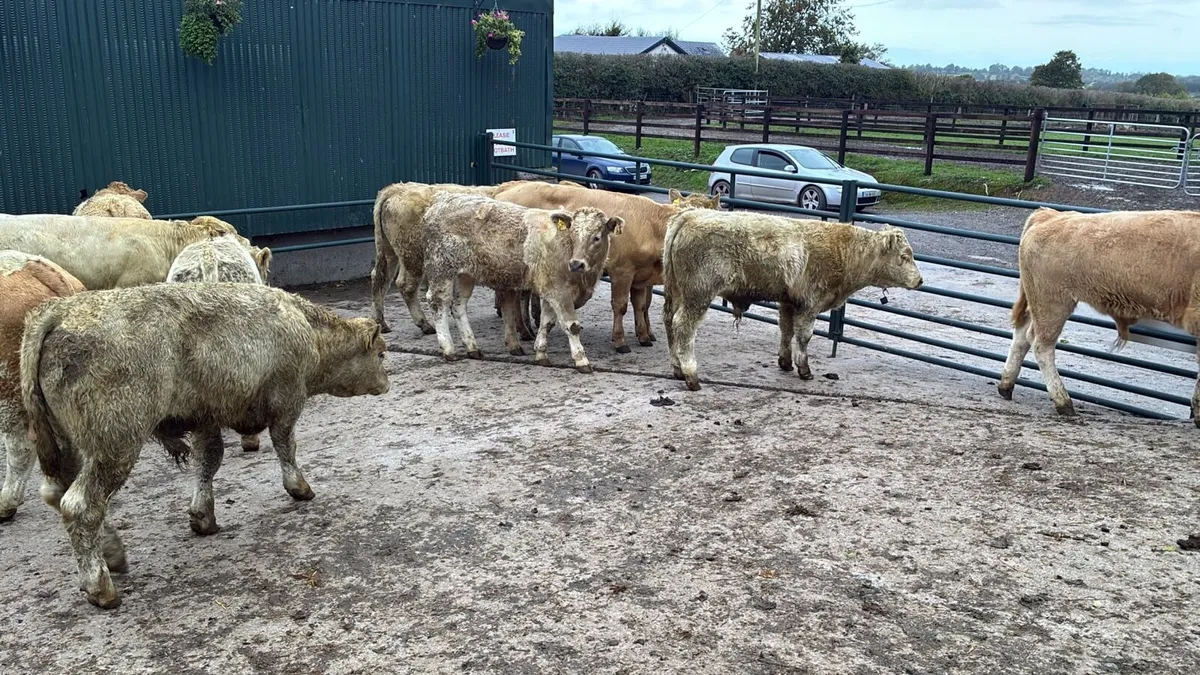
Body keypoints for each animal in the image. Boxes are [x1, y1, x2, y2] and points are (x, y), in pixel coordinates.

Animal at [21, 283, 390, 608]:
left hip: (70, 445)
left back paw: (112, 553)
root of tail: (57, 312)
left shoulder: (205, 420)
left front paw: (202, 517)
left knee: (59, 494)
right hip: (114, 446)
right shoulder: (286, 404)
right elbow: (286, 446)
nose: (386, 384)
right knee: (80, 506)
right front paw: (299, 488)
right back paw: (101, 587)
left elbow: (208, 461)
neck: (306, 327)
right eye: (381, 353)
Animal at [420, 193, 623, 372]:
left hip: (466, 275)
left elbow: (546, 323)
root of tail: (442, 200)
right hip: (440, 268)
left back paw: (472, 347)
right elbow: (571, 326)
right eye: (572, 236)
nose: (576, 264)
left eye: (596, 237)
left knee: (458, 305)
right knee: (438, 302)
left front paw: (541, 354)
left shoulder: (550, 290)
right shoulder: (559, 291)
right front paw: (581, 360)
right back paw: (449, 349)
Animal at [493, 182, 721, 353]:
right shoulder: (622, 271)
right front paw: (620, 341)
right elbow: (620, 305)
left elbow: (641, 305)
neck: (651, 226)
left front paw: (644, 336)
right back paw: (522, 331)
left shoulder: (641, 276)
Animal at [662, 212, 923, 391]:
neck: (843, 251)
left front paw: (785, 362)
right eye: (904, 256)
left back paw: (676, 368)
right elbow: (804, 336)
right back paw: (691, 375)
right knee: (683, 327)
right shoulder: (810, 304)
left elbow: (786, 331)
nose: (920, 280)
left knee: (669, 320)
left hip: (676, 291)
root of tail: (691, 214)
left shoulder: (788, 302)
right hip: (698, 294)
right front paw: (804, 369)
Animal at [998, 208, 1200, 422]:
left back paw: (1006, 387)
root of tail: (1051, 215)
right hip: (1052, 305)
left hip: (1037, 302)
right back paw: (1063, 403)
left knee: (1022, 336)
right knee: (1041, 345)